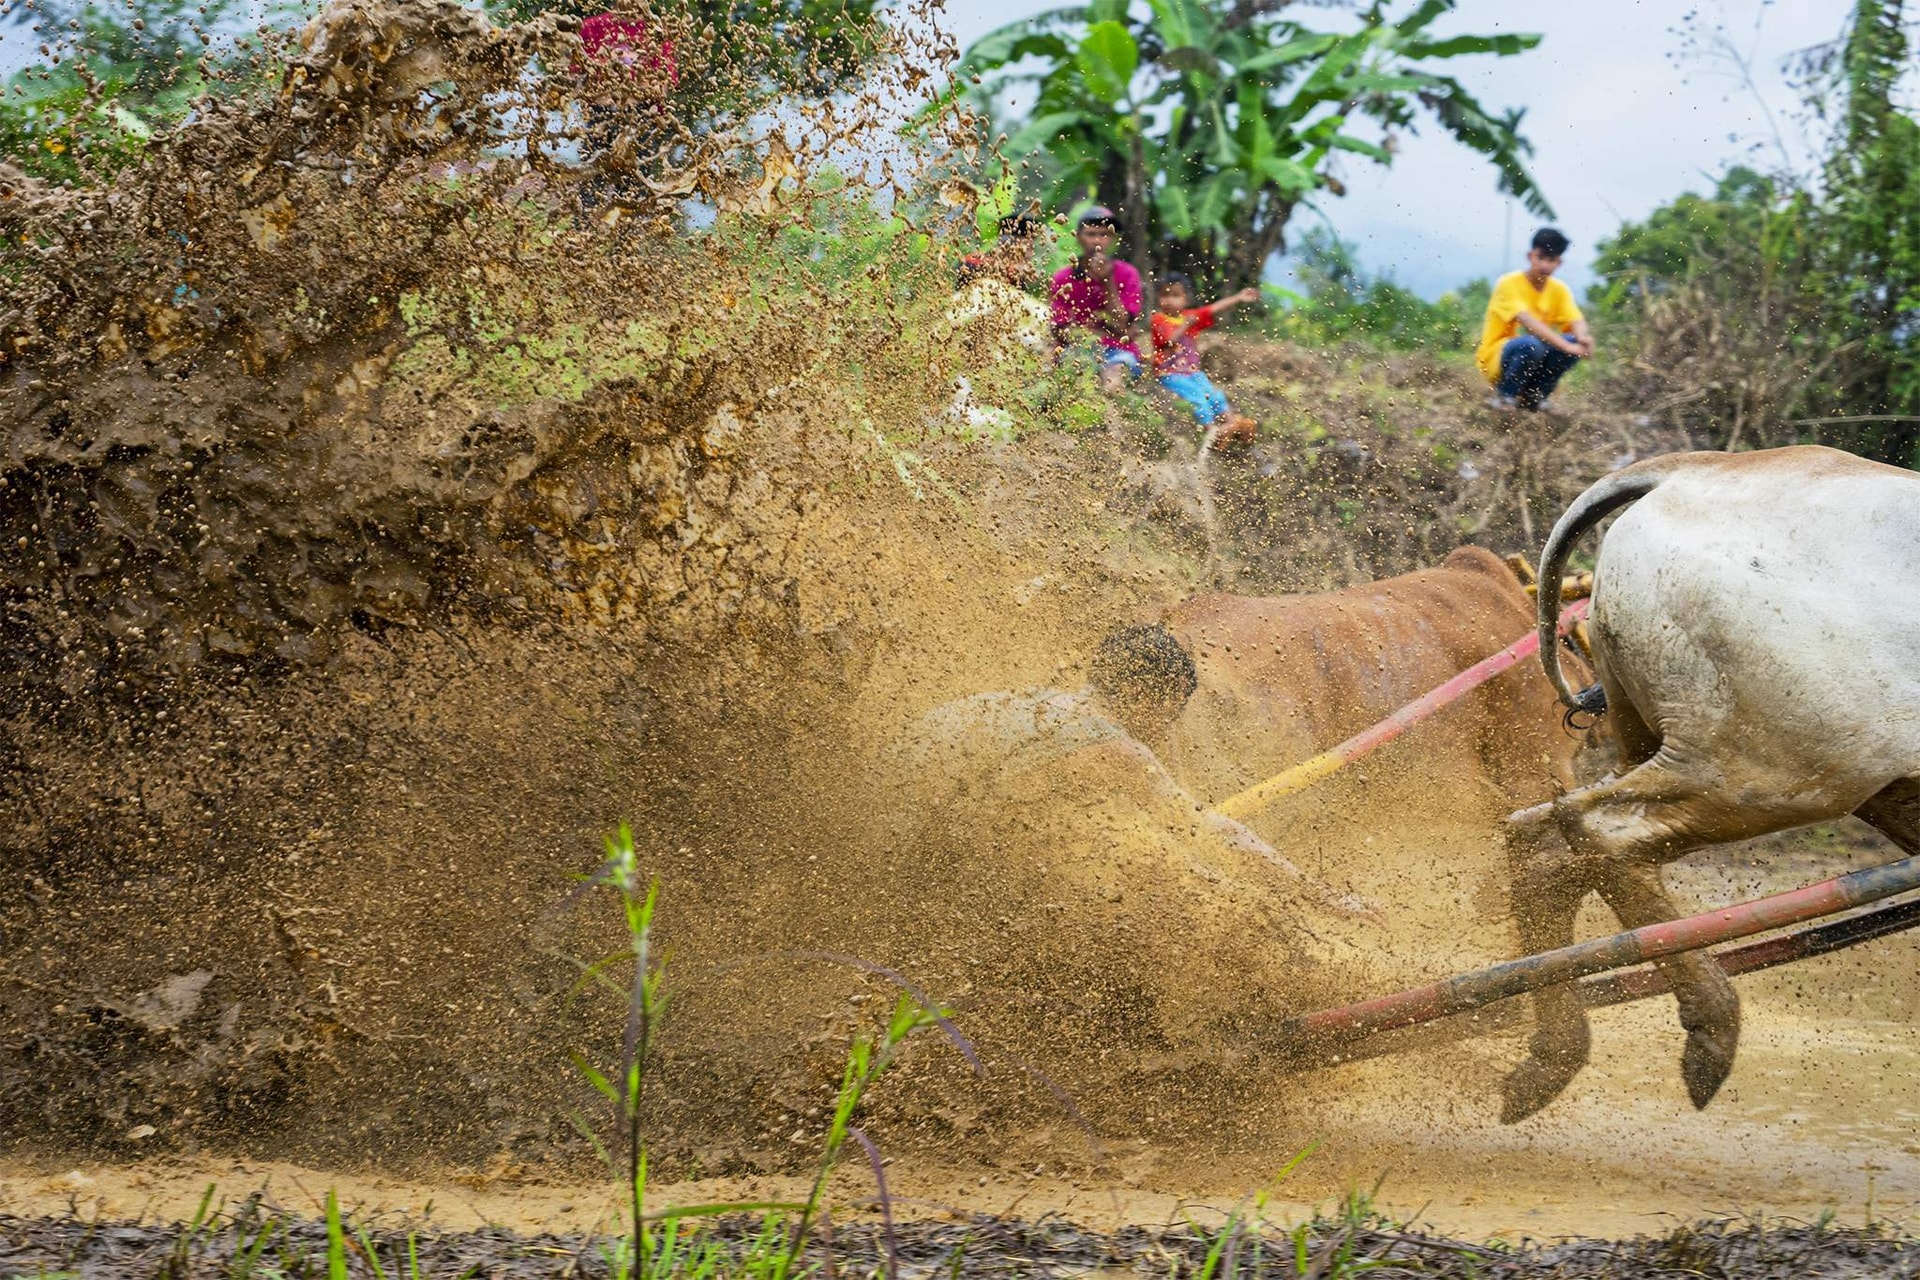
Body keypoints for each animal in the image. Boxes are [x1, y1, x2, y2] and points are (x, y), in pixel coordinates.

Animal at [1505, 449, 1920, 1120]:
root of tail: (1685, 471)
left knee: (1541, 841)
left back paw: (1550, 1054)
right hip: (1775, 771)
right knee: (1601, 832)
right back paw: (1711, 1031)